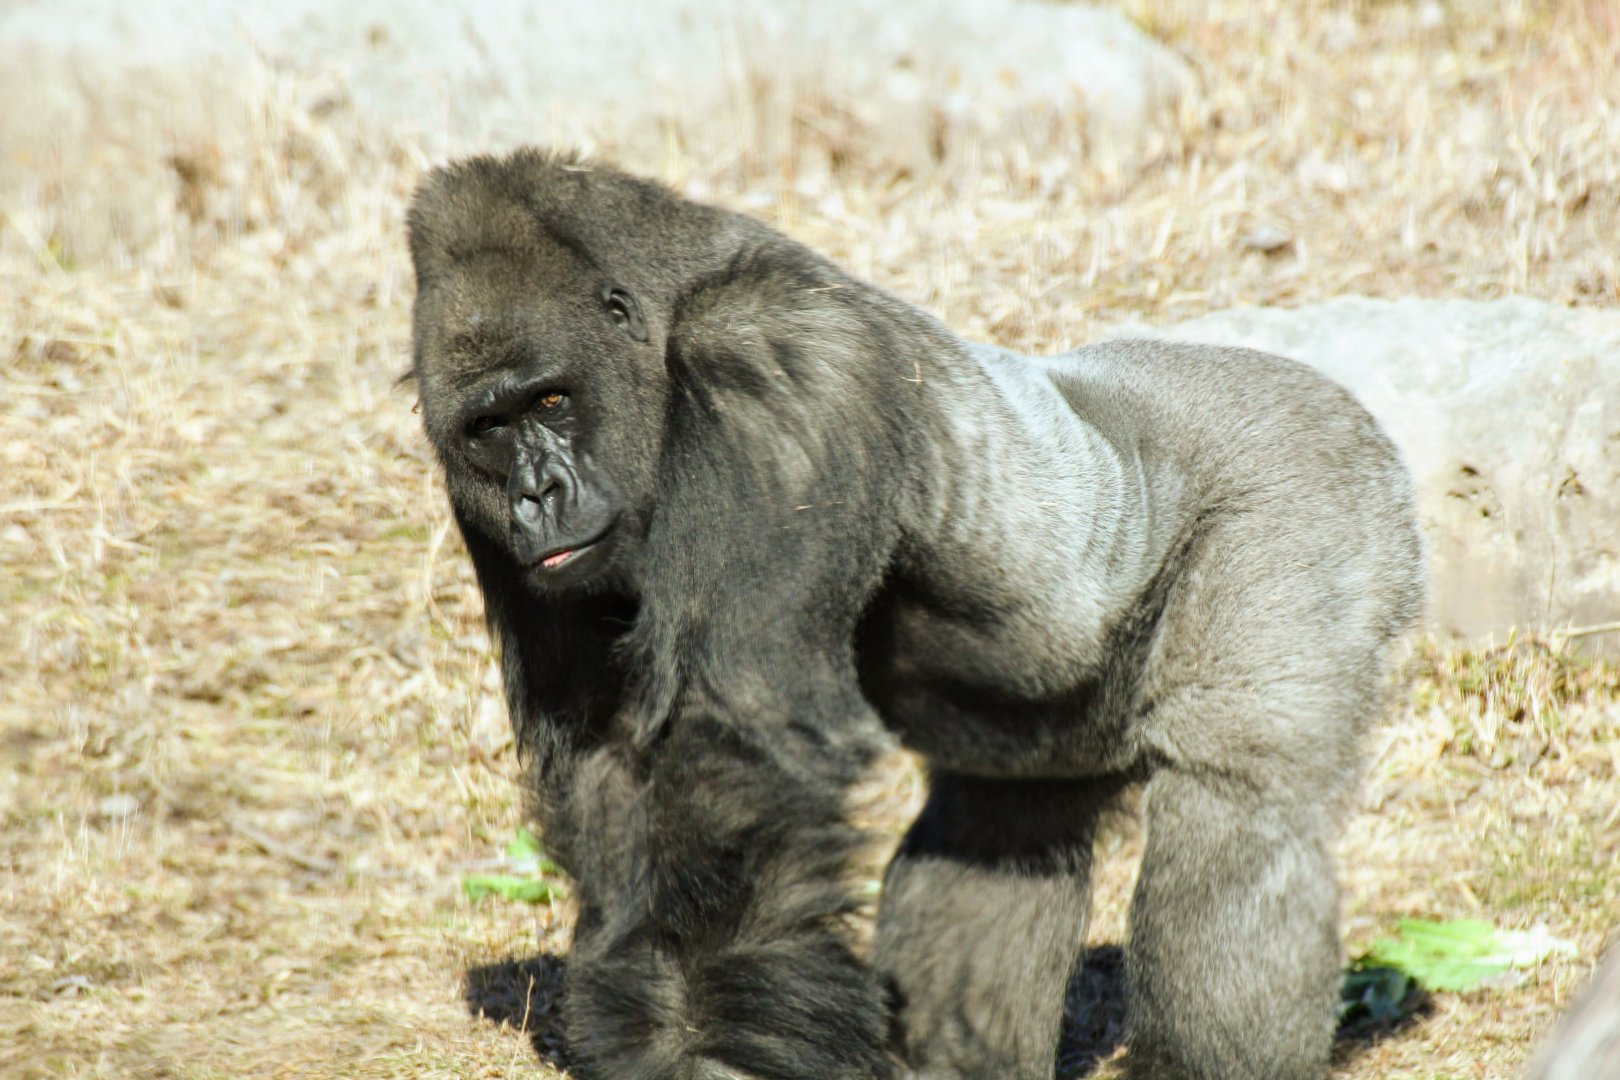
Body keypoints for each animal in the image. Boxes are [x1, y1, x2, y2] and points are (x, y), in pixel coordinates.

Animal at [405, 147, 1426, 1079]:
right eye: (489, 428)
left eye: (550, 398)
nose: (538, 495)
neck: (665, 316)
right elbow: (611, 762)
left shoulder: (776, 365)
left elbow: (732, 744)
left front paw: (704, 1050)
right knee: (998, 834)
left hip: (1315, 481)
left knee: (1241, 817)